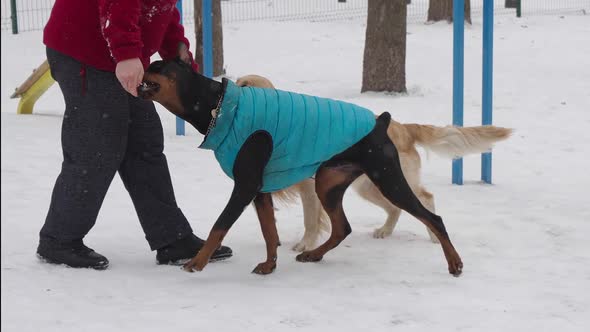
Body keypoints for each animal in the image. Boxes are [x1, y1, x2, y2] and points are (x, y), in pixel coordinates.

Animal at [141, 58, 464, 276]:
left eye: (157, 65)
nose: (139, 65)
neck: (216, 105)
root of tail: (382, 121)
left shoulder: (245, 186)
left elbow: (219, 226)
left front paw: (197, 262)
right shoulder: (260, 190)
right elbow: (269, 232)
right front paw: (269, 265)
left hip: (385, 178)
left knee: (433, 217)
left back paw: (454, 262)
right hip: (329, 182)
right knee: (342, 227)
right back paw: (314, 255)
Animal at [236, 74, 512, 252]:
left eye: (244, 85)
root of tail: (403, 127)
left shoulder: (308, 188)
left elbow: (310, 221)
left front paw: (305, 244)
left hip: (394, 182)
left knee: (426, 197)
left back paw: (434, 237)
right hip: (370, 186)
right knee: (395, 209)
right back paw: (385, 231)